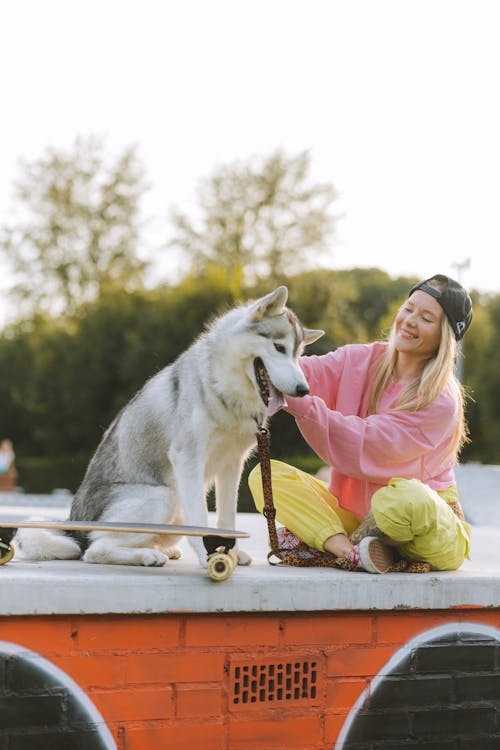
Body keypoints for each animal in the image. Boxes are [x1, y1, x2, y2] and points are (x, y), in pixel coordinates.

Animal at [16, 288, 324, 568]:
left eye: (299, 353)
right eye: (279, 348)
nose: (303, 390)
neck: (222, 390)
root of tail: (74, 522)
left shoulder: (232, 464)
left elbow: (227, 516)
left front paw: (232, 553)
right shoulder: (187, 458)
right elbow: (201, 519)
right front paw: (209, 556)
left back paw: (160, 550)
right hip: (165, 497)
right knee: (94, 549)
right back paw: (146, 556)